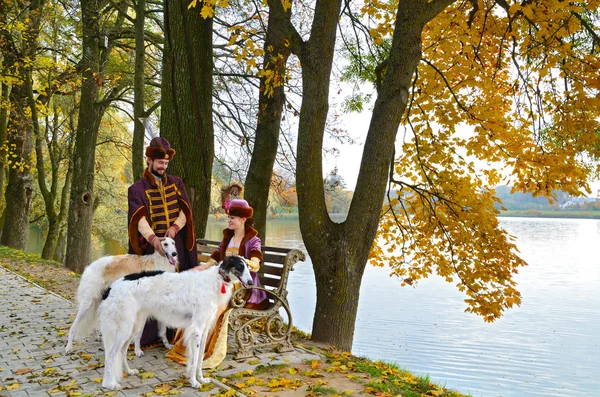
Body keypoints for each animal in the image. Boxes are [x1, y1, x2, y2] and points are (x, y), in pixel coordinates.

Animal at [97, 255, 252, 388]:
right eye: (240, 267)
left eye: (248, 267)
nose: (251, 282)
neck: (216, 280)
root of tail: (112, 287)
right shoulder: (196, 329)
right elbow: (195, 358)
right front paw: (194, 382)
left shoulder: (204, 329)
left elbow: (199, 358)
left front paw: (201, 379)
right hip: (124, 328)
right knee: (110, 356)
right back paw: (109, 384)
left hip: (134, 326)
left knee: (122, 351)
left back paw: (129, 371)